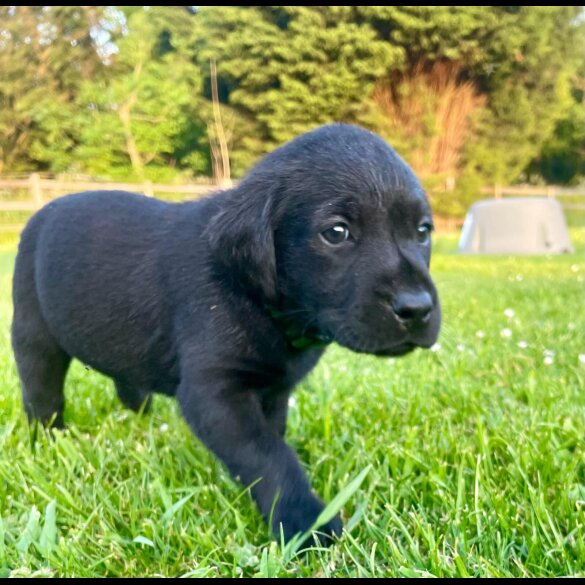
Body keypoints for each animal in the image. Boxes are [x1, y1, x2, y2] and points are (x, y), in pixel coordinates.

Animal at [11, 123, 440, 544]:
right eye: (336, 232)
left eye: (423, 231)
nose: (417, 308)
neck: (263, 302)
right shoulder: (215, 393)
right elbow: (268, 456)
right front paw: (307, 524)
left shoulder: (274, 391)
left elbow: (274, 439)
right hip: (33, 333)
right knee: (42, 394)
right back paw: (49, 440)